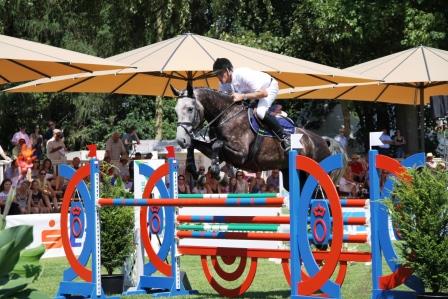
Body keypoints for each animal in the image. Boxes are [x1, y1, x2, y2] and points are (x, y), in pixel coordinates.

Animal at [172, 85, 346, 191]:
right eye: (176, 110)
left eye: (190, 108)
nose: (180, 140)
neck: (226, 115)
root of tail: (323, 141)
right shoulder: (222, 153)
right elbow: (195, 145)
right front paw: (198, 175)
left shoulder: (240, 154)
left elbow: (217, 146)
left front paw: (221, 177)